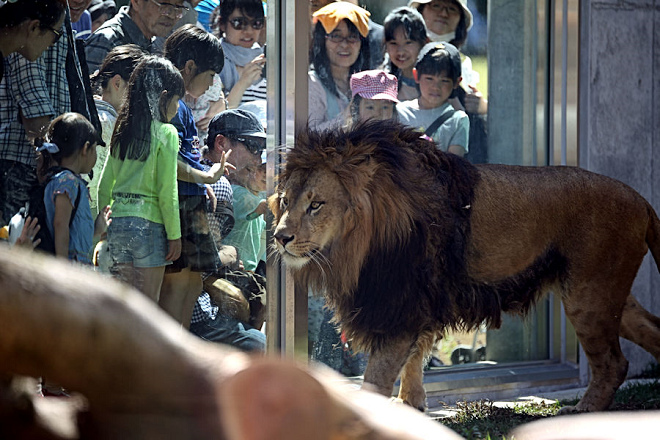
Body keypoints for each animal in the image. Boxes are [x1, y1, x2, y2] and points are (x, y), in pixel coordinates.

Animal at [266, 119, 660, 412]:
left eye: (316, 204)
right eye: (285, 200)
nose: (280, 237)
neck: (357, 244)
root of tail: (642, 200)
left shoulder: (400, 307)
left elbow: (377, 378)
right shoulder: (419, 303)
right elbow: (414, 361)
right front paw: (412, 407)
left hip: (589, 297)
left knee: (613, 363)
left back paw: (584, 411)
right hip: (608, 297)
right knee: (650, 332)